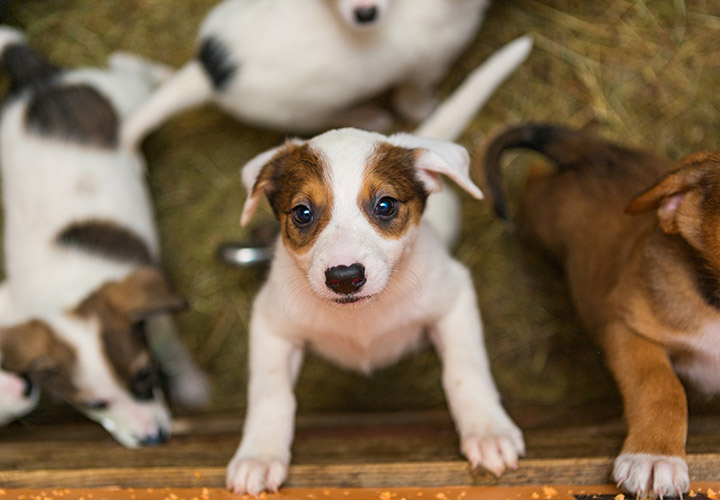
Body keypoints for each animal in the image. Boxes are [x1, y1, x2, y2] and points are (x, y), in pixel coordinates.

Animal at [0, 27, 211, 446]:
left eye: (144, 376)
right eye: (95, 405)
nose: (154, 439)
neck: (67, 291)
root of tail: (39, 82)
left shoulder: (154, 314)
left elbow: (171, 349)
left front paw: (192, 386)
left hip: (124, 93)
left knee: (126, 64)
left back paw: (164, 75)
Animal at [122, 0, 496, 148]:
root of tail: (212, 71)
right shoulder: (426, 67)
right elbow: (413, 101)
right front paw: (427, 108)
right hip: (302, 111)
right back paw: (368, 115)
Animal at [228, 36, 532, 496]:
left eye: (385, 205)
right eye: (302, 213)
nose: (344, 278)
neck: (362, 320)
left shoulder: (455, 296)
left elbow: (465, 370)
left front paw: (487, 430)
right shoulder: (271, 323)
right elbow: (270, 392)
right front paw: (259, 455)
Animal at [480, 124, 720, 496]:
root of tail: (597, 152)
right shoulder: (628, 328)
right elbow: (662, 387)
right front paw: (655, 455)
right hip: (542, 211)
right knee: (533, 180)